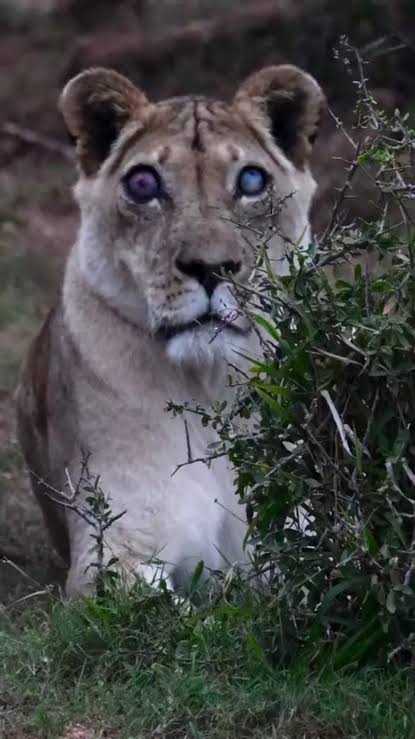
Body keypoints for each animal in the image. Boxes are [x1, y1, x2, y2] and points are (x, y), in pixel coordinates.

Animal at [16, 65, 325, 597]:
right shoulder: (111, 550)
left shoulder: (305, 538)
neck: (210, 389)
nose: (210, 268)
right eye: (143, 183)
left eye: (251, 180)